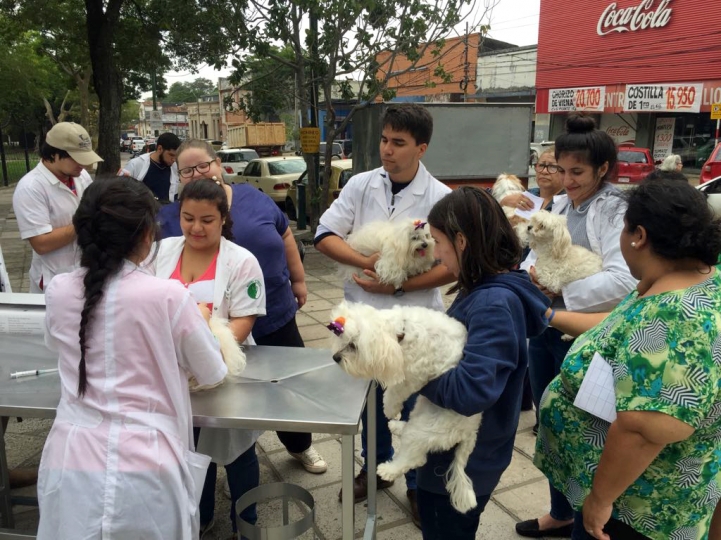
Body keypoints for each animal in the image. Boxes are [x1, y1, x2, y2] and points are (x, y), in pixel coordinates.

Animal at [330, 302, 480, 512]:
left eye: (353, 345)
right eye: (343, 340)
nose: (335, 357)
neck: (404, 331)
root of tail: (470, 431)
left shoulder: (415, 376)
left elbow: (396, 390)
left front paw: (388, 407)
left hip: (428, 427)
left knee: (415, 458)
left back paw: (387, 469)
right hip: (421, 408)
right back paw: (397, 426)